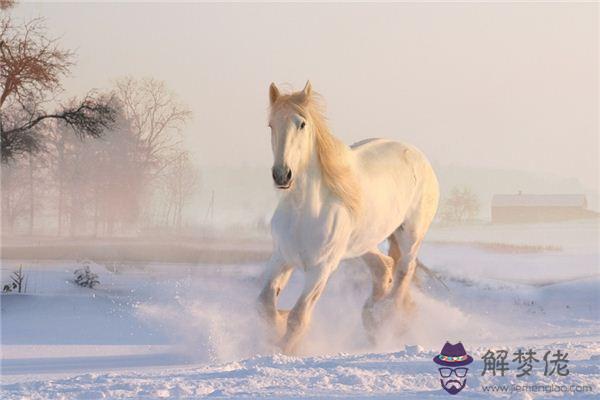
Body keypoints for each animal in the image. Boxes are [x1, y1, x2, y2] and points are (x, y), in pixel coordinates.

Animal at [258, 81, 440, 354]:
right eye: (271, 125)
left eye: (301, 124)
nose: (282, 175)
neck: (304, 212)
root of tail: (418, 156)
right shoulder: (281, 257)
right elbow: (265, 305)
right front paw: (277, 326)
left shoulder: (321, 268)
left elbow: (298, 317)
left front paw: (284, 349)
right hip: (362, 243)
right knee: (384, 267)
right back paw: (372, 318)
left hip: (411, 234)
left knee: (404, 271)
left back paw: (385, 317)